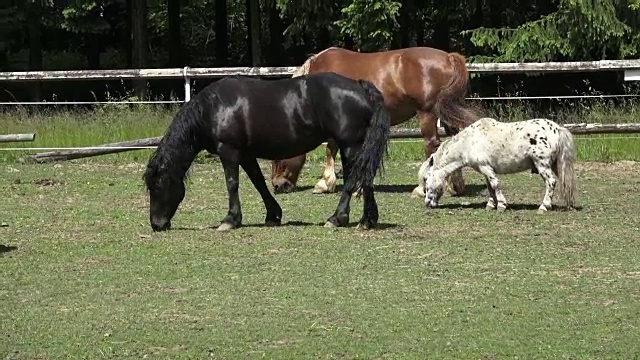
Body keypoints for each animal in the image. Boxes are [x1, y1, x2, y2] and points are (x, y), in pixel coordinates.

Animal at [143, 71, 390, 232]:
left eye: (157, 186)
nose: (156, 224)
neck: (214, 108)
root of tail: (360, 87)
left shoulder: (228, 151)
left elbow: (232, 184)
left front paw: (230, 220)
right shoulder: (245, 153)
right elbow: (258, 182)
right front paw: (273, 215)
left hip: (350, 145)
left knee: (353, 180)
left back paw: (337, 218)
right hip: (355, 147)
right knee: (364, 178)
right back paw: (366, 221)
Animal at [270, 46, 480, 197]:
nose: (277, 185)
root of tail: (449, 57)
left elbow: (330, 149)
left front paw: (324, 184)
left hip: (427, 114)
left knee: (432, 146)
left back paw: (422, 189)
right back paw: (455, 187)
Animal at [418, 118, 576, 212]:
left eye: (426, 179)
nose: (427, 203)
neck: (469, 142)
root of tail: (557, 129)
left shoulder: (486, 168)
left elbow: (495, 185)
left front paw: (501, 205)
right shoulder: (485, 170)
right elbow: (490, 187)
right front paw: (490, 205)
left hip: (543, 166)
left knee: (551, 182)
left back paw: (543, 207)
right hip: (555, 165)